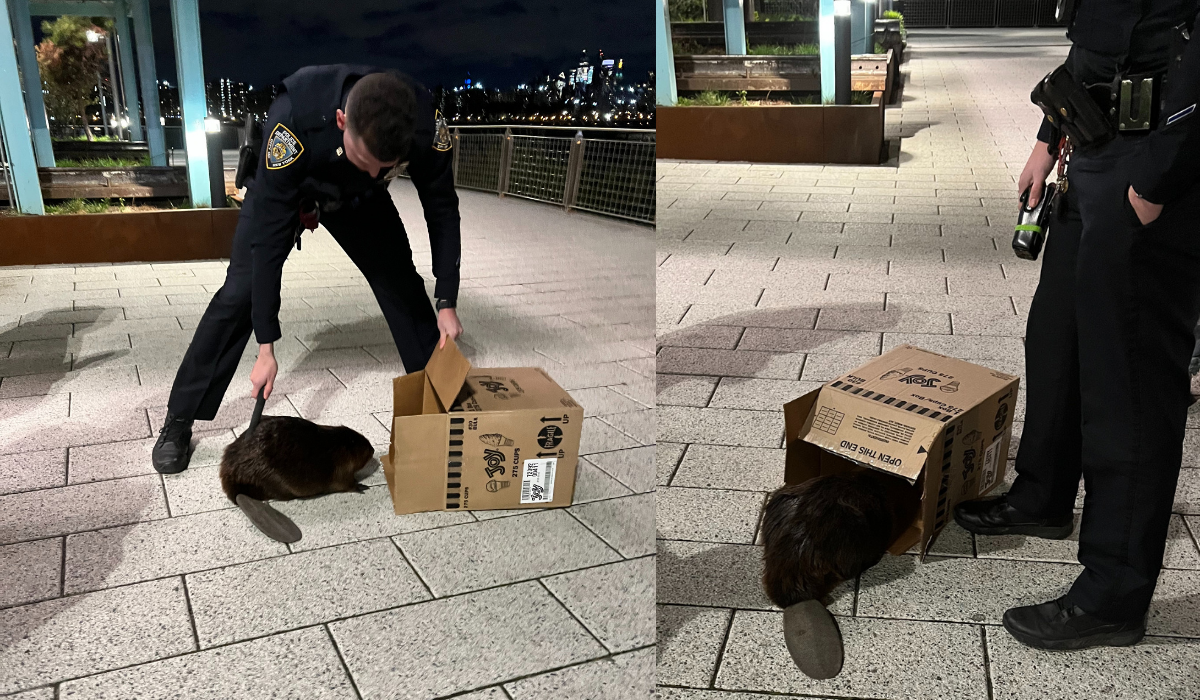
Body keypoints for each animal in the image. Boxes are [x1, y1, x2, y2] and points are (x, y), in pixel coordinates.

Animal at [220, 393, 374, 542]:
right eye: (364, 446)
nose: (372, 450)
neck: (337, 446)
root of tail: (238, 493)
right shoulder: (341, 469)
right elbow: (347, 484)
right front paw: (362, 486)